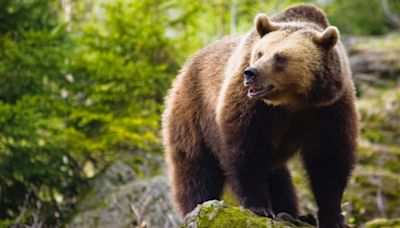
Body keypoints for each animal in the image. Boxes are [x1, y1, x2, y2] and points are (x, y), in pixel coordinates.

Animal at [161, 4, 358, 228]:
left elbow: (329, 159)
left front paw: (333, 217)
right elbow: (245, 152)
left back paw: (296, 214)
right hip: (192, 112)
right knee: (195, 168)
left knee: (278, 176)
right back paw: (196, 205)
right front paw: (259, 207)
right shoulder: (251, 107)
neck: (292, 101)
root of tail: (186, 66)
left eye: (280, 57)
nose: (250, 73)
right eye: (259, 52)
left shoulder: (329, 108)